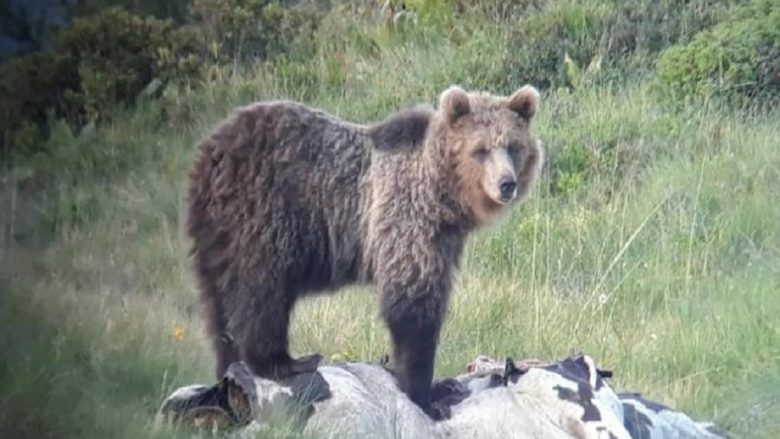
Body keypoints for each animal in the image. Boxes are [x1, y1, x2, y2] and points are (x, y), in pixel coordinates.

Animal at [187, 85, 544, 420]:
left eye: (513, 146)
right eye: (480, 149)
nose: (506, 184)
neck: (442, 194)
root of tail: (211, 150)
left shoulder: (443, 237)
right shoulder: (407, 219)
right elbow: (413, 305)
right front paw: (423, 395)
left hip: (216, 234)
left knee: (218, 304)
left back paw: (230, 367)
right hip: (264, 213)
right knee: (262, 290)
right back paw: (286, 362)